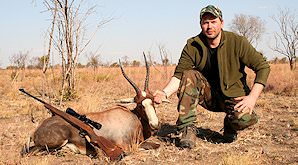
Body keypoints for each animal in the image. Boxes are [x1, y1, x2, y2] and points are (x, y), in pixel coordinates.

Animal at [22, 54, 161, 156]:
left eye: (153, 101)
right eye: (140, 104)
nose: (155, 124)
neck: (131, 116)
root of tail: (36, 131)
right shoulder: (127, 146)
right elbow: (154, 147)